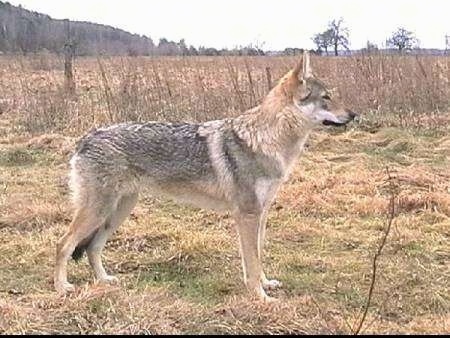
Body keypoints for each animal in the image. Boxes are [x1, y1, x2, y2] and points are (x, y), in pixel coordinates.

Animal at [54, 51, 356, 302]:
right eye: (326, 97)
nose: (354, 114)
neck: (266, 140)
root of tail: (86, 138)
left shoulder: (261, 214)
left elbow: (258, 255)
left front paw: (266, 284)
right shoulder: (246, 215)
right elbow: (252, 261)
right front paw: (261, 298)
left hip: (118, 211)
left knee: (92, 248)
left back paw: (104, 281)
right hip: (99, 211)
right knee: (63, 244)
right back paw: (62, 287)